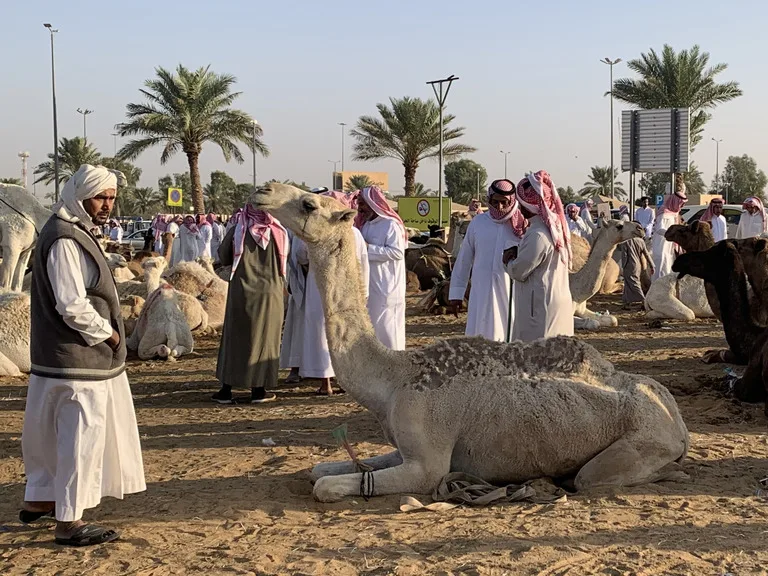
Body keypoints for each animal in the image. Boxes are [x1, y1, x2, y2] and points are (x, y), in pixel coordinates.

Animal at [249, 182, 688, 502]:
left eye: (308, 204)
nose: (263, 190)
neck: (392, 378)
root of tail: (678, 422)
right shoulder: (404, 447)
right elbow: (320, 469)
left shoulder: (427, 461)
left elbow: (326, 486)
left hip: (641, 440)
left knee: (593, 477)